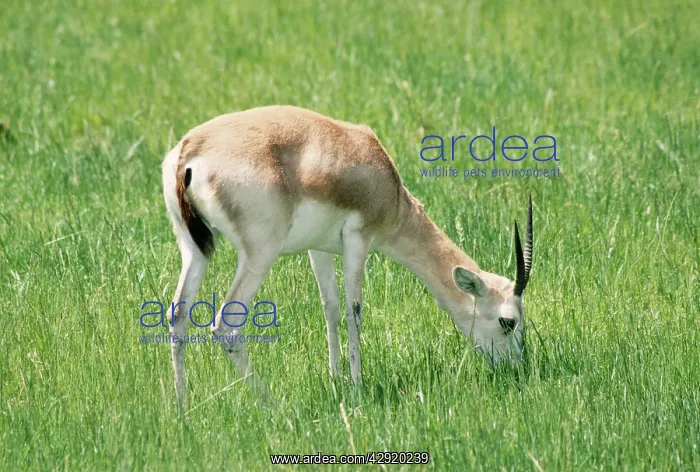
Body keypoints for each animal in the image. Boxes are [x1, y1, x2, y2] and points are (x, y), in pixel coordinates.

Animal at [161, 105, 533, 408]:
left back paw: (183, 409)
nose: (517, 369)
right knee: (225, 326)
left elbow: (331, 308)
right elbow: (356, 312)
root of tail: (191, 149)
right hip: (259, 254)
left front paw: (335, 379)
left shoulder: (318, 249)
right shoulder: (359, 240)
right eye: (508, 321)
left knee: (177, 314)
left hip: (195, 251)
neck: (385, 183)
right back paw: (274, 404)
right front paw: (357, 387)